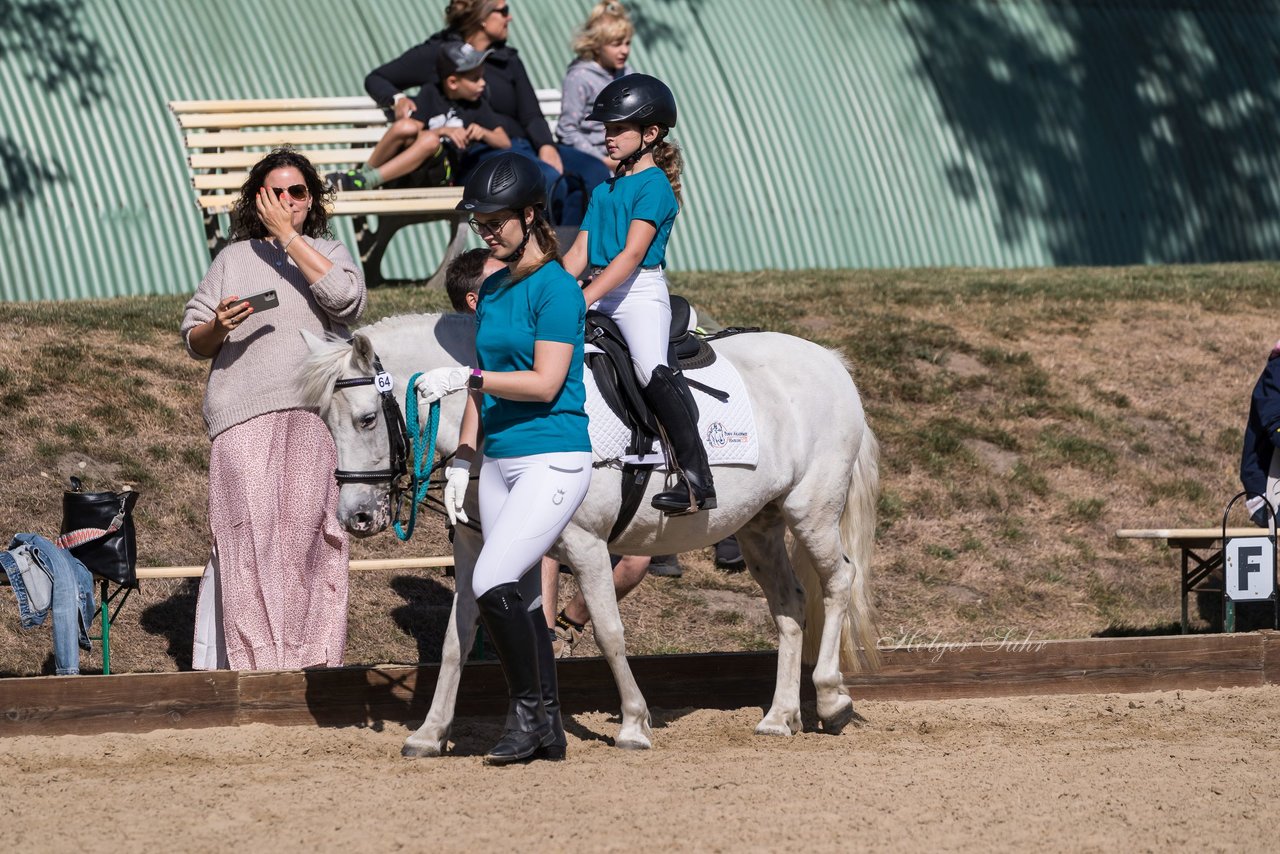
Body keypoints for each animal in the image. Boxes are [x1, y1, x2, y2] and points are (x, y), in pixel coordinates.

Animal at [299, 313, 880, 752]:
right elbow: (458, 638)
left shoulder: (586, 545)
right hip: (760, 525)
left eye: (368, 419)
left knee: (838, 583)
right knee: (790, 605)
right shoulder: (477, 552)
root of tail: (830, 360)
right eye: (325, 422)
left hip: (811, 511)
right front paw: (431, 731)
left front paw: (634, 723)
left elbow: (608, 631)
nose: (355, 519)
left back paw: (832, 699)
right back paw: (780, 716)